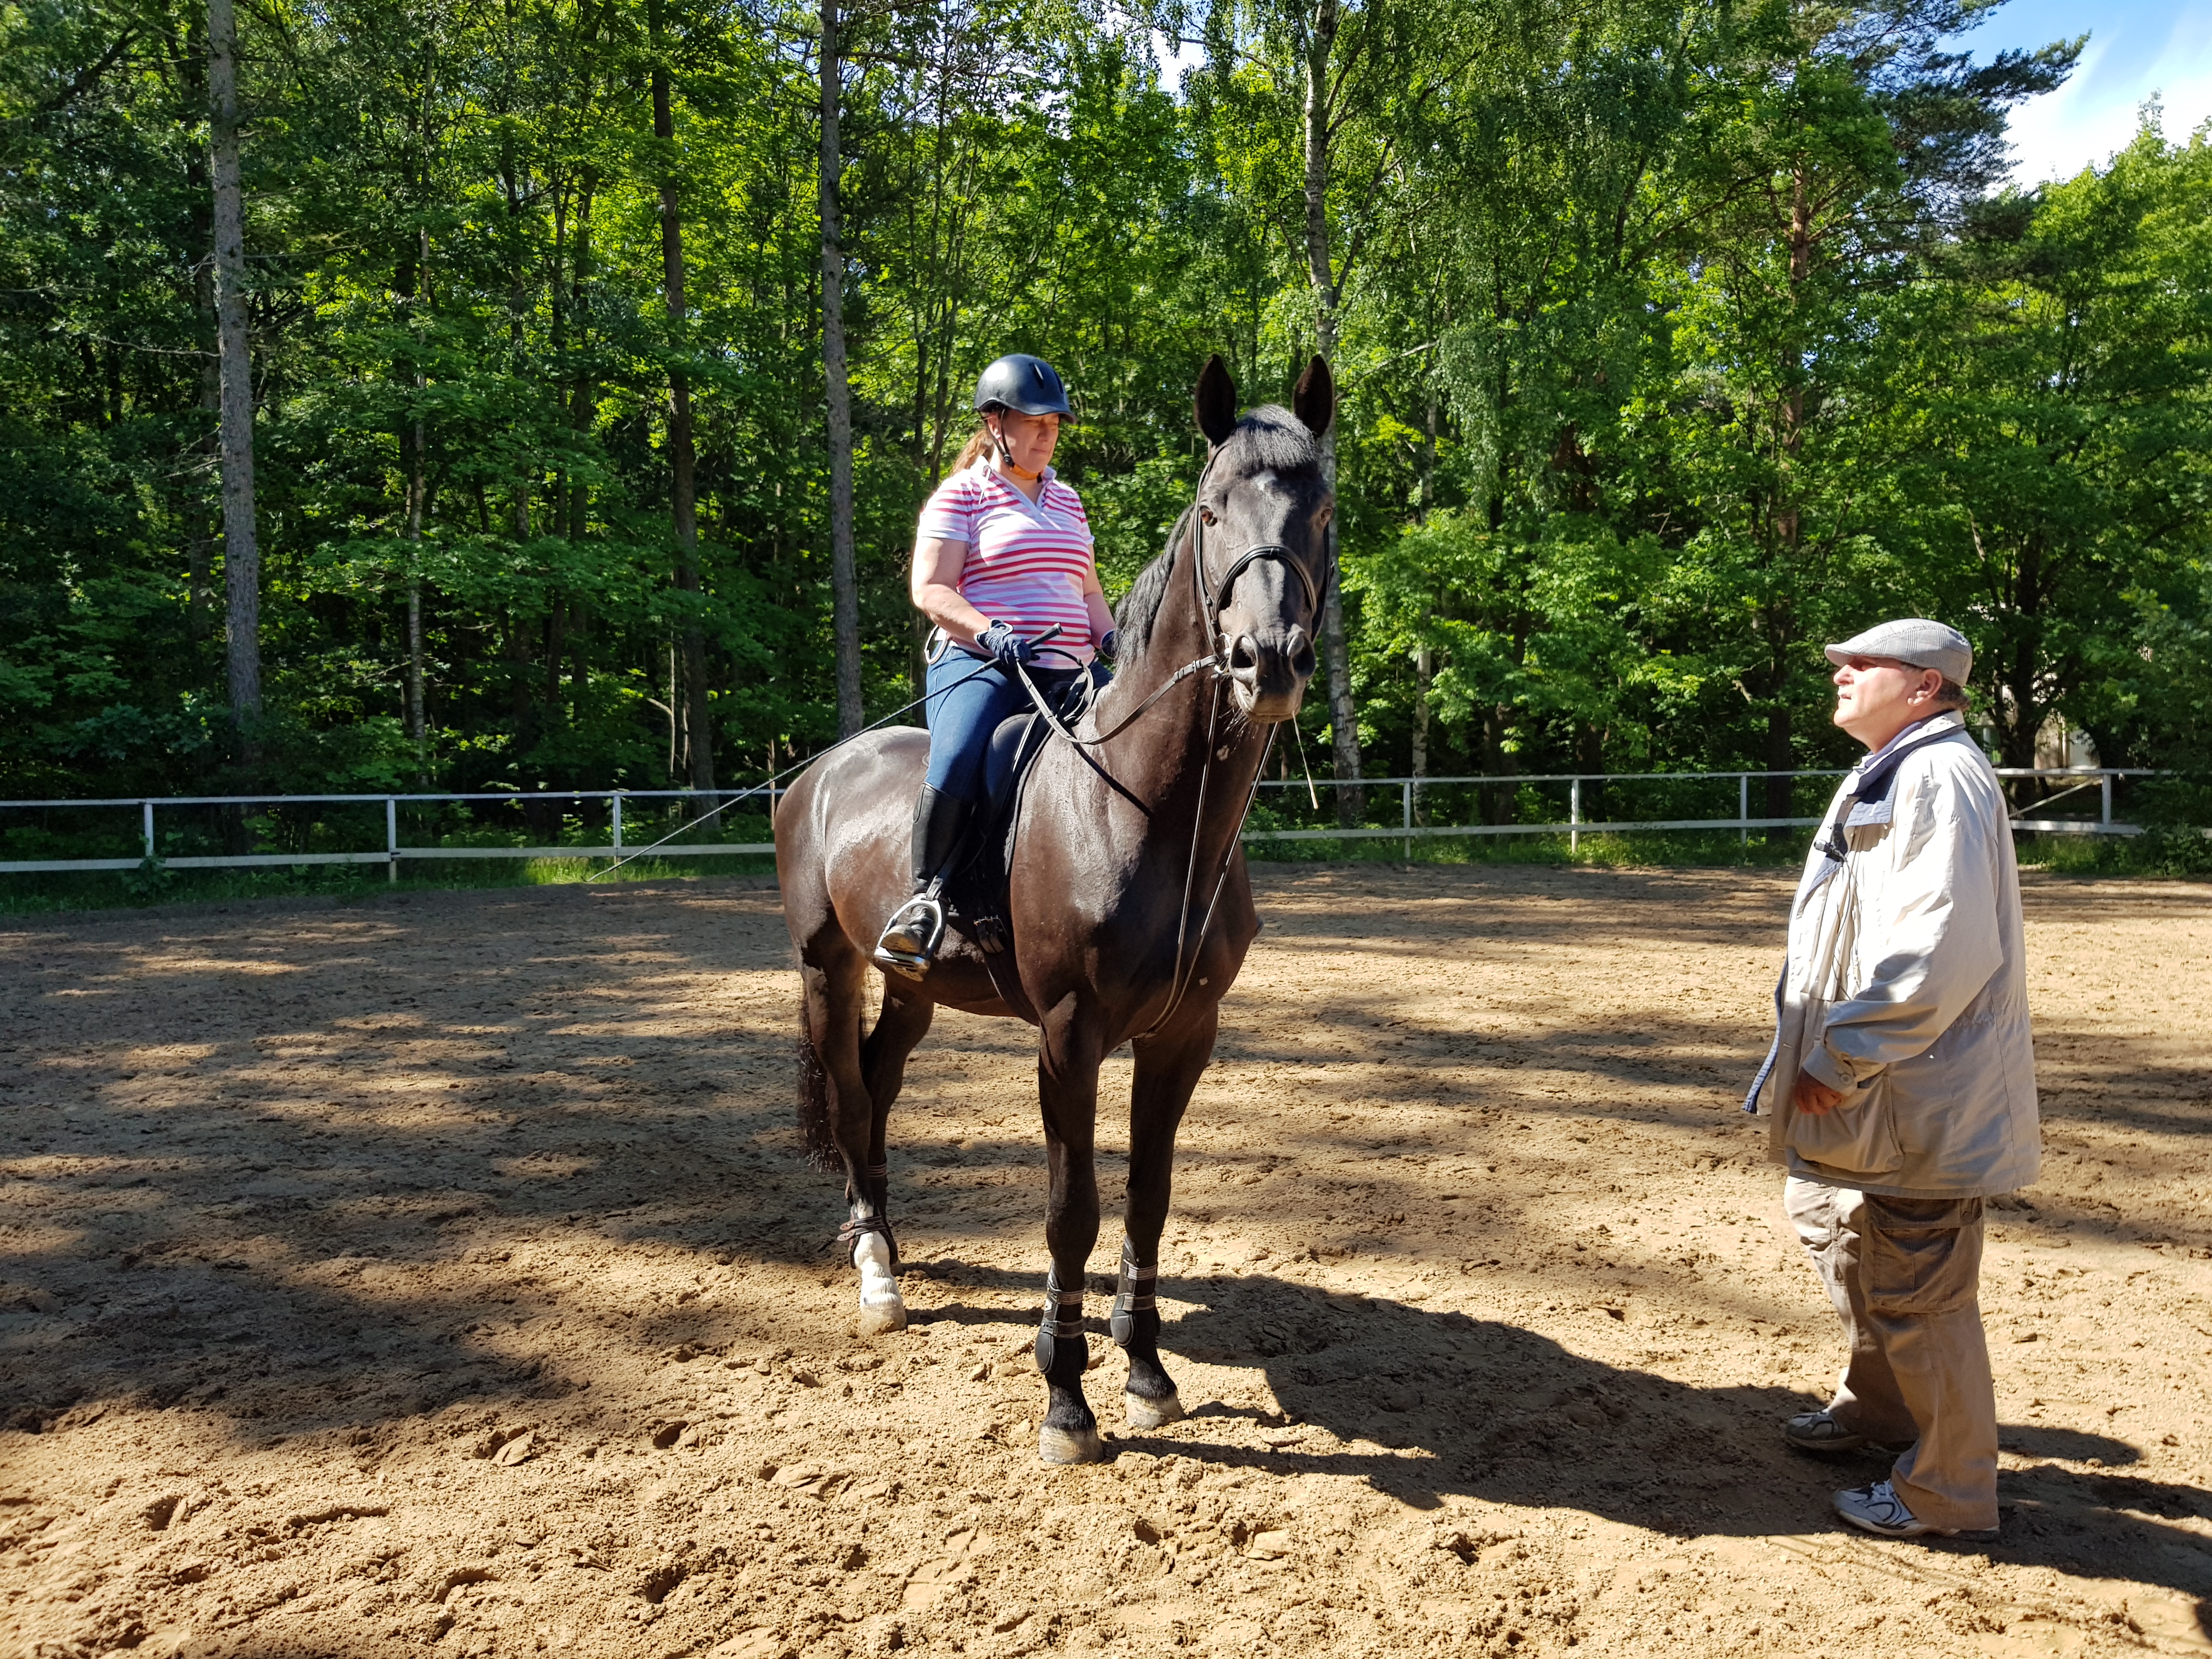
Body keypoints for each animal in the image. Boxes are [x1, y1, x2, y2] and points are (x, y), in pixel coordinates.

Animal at [774, 360, 1327, 1469]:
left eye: (1321, 509)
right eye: (1212, 510)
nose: (1268, 661)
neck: (1146, 810)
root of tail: (820, 769)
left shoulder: (1183, 1034)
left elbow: (1149, 1197)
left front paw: (1147, 1371)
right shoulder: (1068, 1037)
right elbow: (1072, 1210)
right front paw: (1066, 1398)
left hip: (911, 988)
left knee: (880, 1087)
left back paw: (884, 1242)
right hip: (826, 967)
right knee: (851, 1100)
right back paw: (878, 1276)